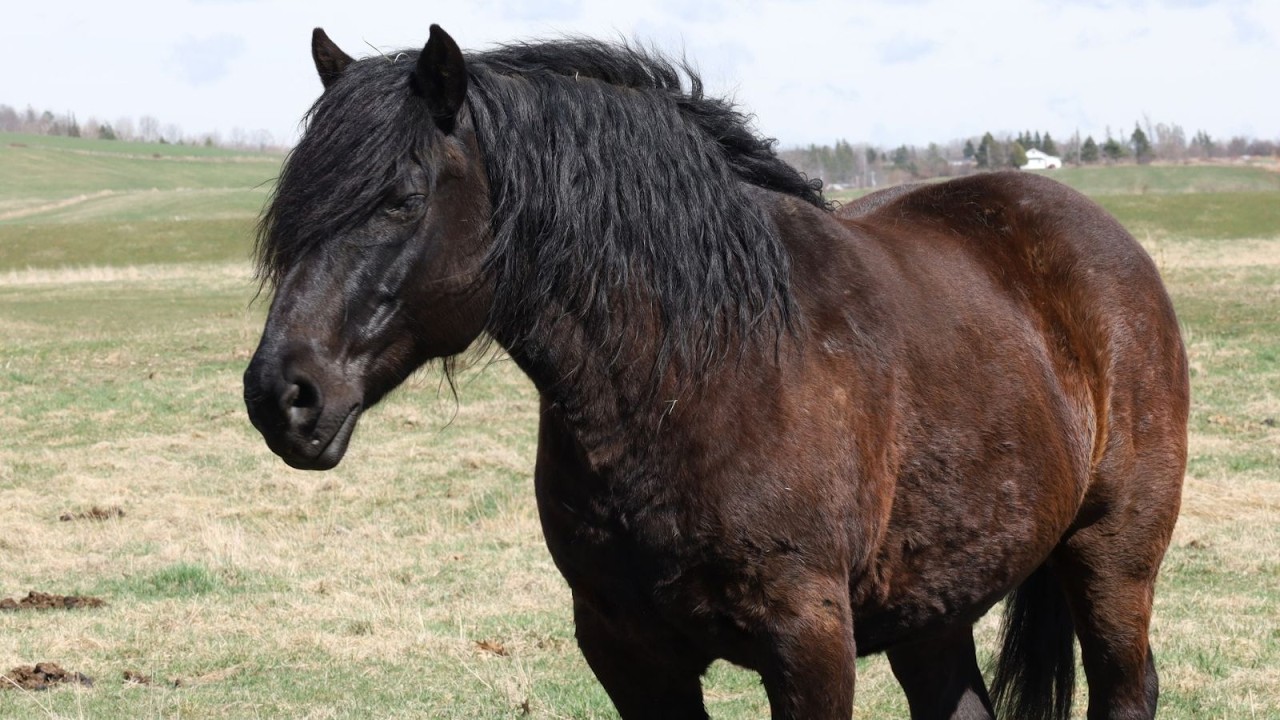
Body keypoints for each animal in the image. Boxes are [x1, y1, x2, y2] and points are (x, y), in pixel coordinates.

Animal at [243, 25, 1188, 720]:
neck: (693, 376)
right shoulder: (629, 651)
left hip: (1112, 558)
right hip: (935, 605)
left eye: (402, 200)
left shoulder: (808, 642)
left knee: (1126, 686)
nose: (281, 395)